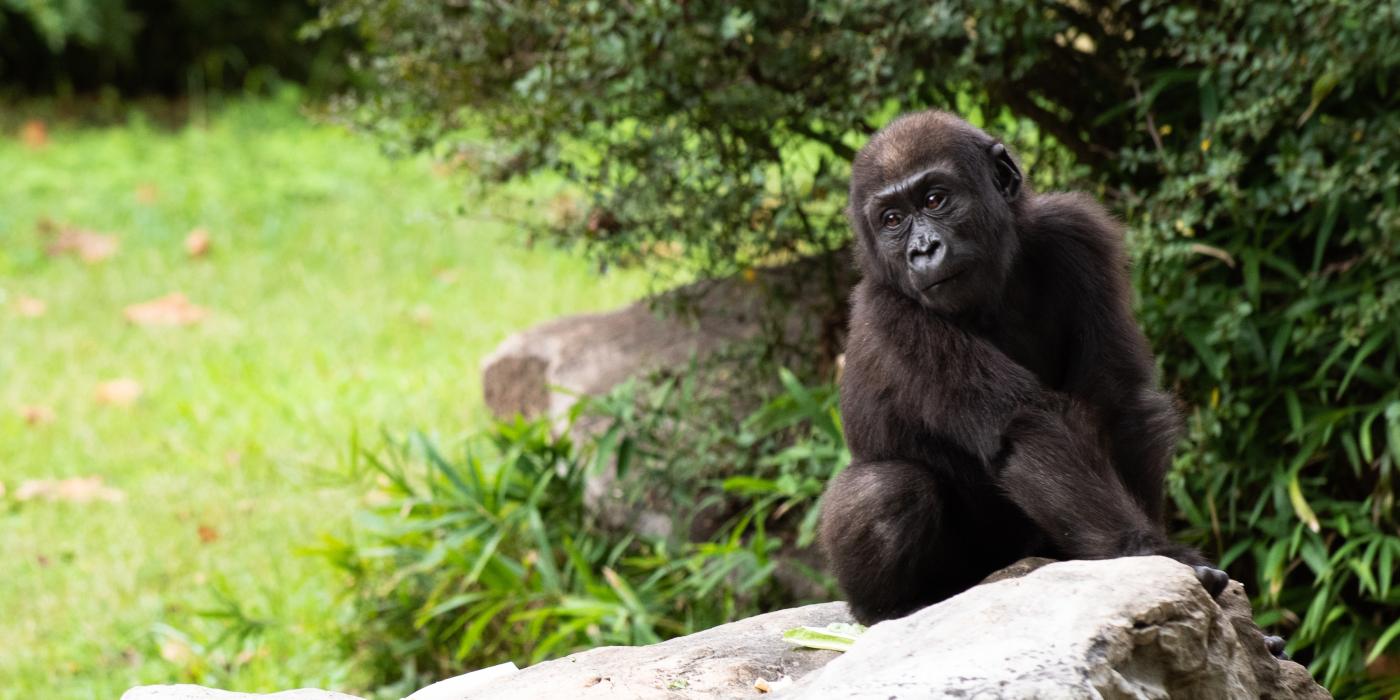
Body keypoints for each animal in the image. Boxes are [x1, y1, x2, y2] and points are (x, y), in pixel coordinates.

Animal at [817, 110, 1271, 644]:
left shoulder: (1076, 232)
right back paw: (894, 609)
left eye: (934, 199)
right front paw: (1152, 554)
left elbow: (1120, 402)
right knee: (885, 489)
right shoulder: (891, 314)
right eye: (891, 220)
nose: (922, 250)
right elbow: (1028, 425)